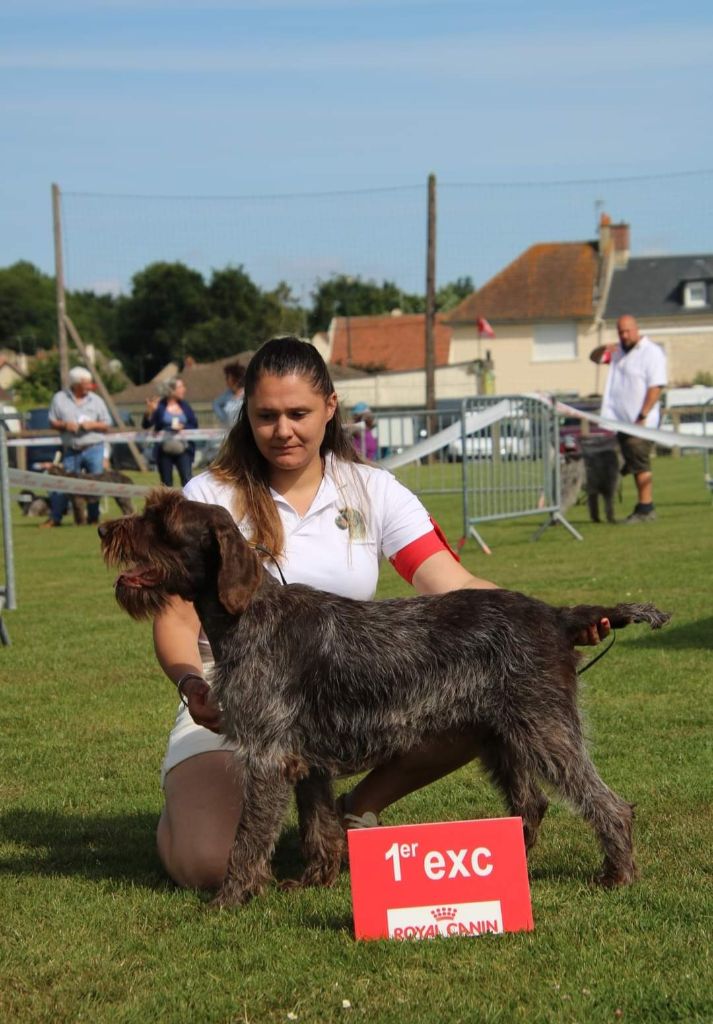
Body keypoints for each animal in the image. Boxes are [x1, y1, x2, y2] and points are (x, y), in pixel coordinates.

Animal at [97, 491, 672, 909]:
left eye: (162, 518)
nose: (104, 529)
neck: (249, 616)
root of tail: (556, 614)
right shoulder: (305, 762)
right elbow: (318, 827)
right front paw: (315, 880)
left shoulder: (267, 756)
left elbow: (248, 838)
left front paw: (229, 899)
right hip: (500, 738)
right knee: (532, 804)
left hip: (545, 731)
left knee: (608, 804)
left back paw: (617, 873)